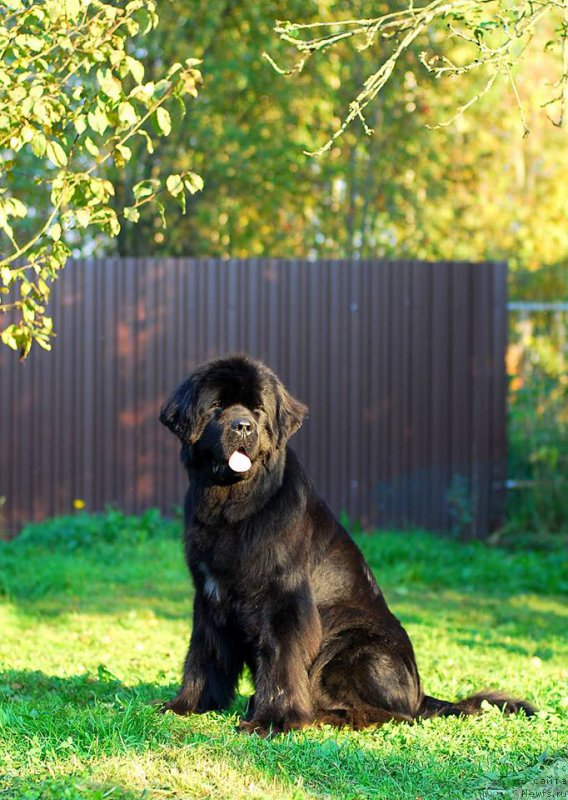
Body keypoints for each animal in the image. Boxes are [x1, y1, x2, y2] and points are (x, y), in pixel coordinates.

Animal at [159, 354, 532, 736]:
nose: (244, 426)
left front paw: (272, 721)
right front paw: (185, 705)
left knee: (390, 715)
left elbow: (280, 661)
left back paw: (319, 716)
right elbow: (204, 654)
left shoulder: (284, 600)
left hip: (351, 648)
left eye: (258, 409)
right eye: (217, 406)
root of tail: (419, 695)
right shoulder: (210, 595)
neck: (234, 508)